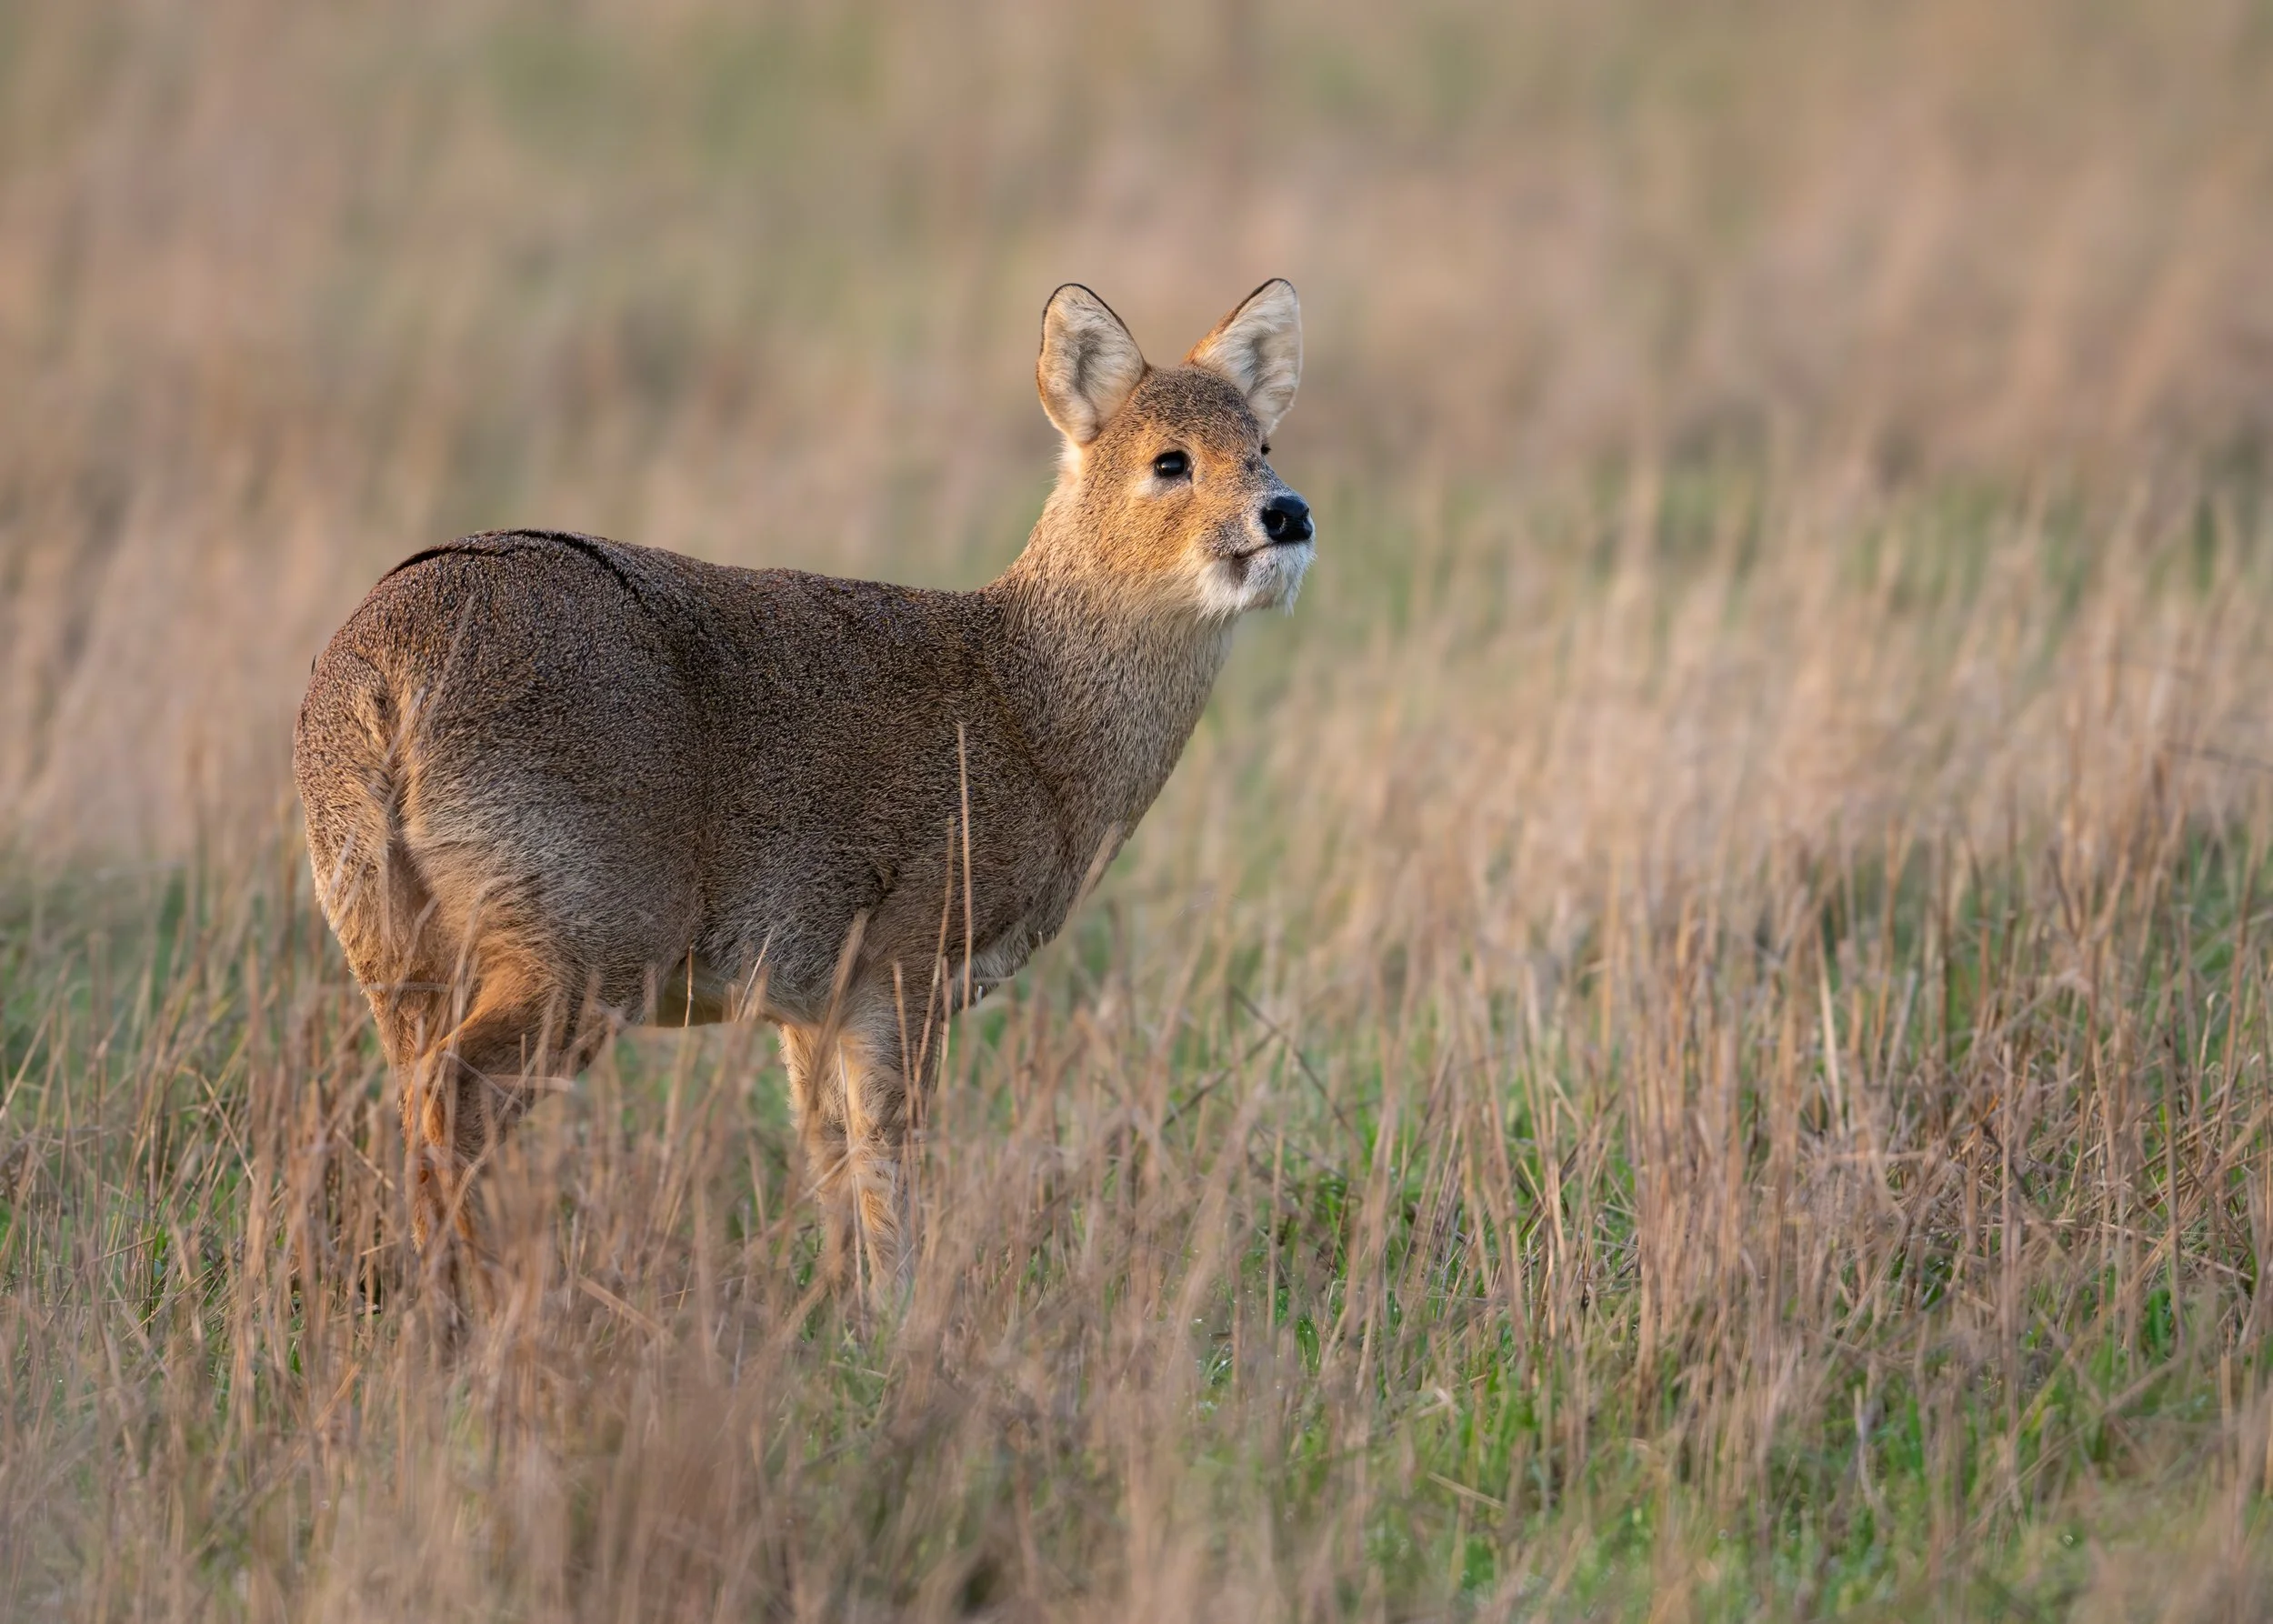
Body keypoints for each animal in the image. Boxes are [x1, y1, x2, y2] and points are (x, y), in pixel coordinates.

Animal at [294, 280, 1312, 1300]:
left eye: (1263, 443)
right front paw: (904, 1310)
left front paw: (842, 1307)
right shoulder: (906, 957)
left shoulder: (805, 997)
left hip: (391, 944)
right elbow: (889, 1155)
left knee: (416, 1098)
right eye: (1169, 459)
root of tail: (377, 675)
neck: (1029, 712)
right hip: (587, 934)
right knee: (457, 1094)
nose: (1289, 515)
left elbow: (827, 1155)